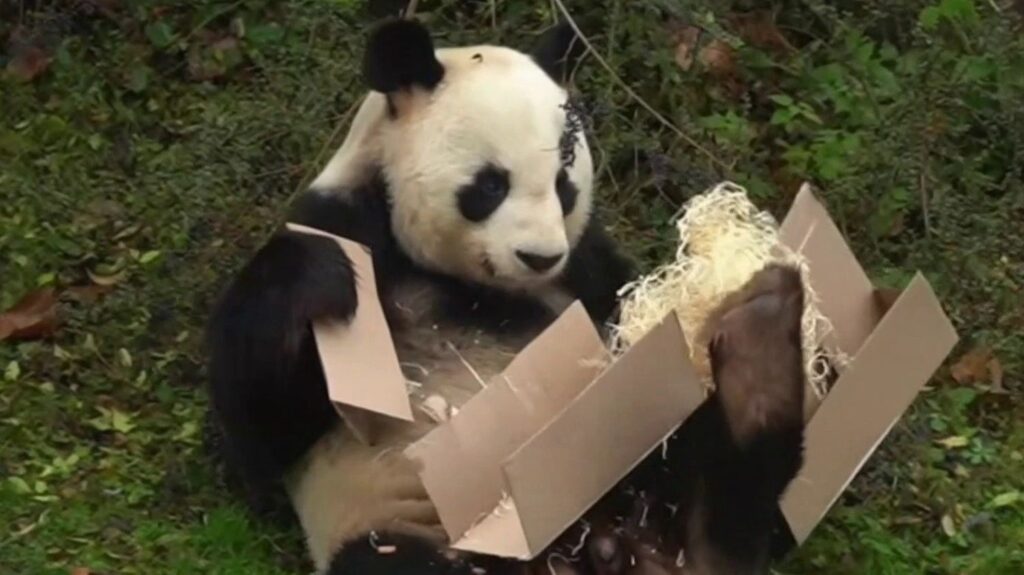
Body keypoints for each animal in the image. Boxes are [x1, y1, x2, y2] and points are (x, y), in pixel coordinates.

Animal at [204, 16, 807, 575]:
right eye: (491, 185)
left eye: (565, 186)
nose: (539, 257)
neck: (471, 282)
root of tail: (612, 549)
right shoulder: (348, 224)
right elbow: (263, 438)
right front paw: (319, 276)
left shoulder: (587, 271)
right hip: (404, 528)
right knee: (389, 561)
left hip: (635, 464)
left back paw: (759, 355)